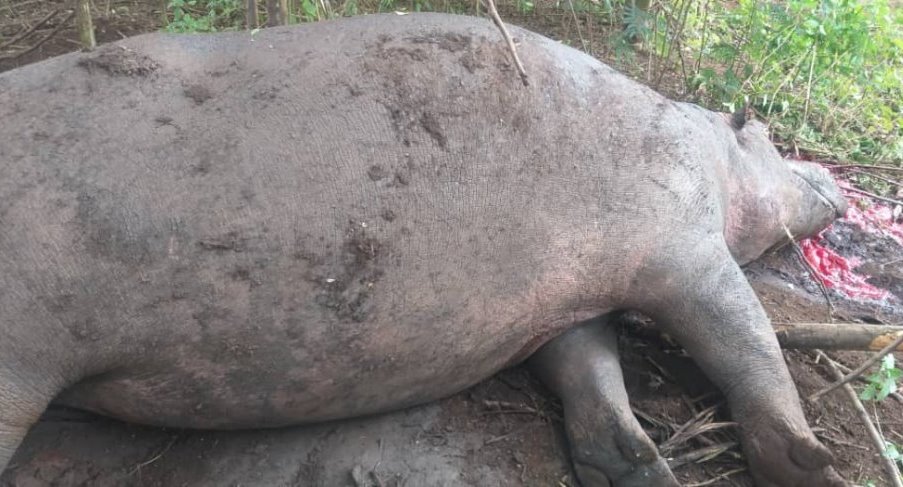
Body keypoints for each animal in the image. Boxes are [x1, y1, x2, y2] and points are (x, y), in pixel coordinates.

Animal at [0, 13, 847, 486]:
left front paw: (641, 468)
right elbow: (747, 342)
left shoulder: (567, 298)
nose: (833, 184)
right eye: (762, 132)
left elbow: (588, 369)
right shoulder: (684, 250)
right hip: (20, 366)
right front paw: (813, 467)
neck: (708, 154)